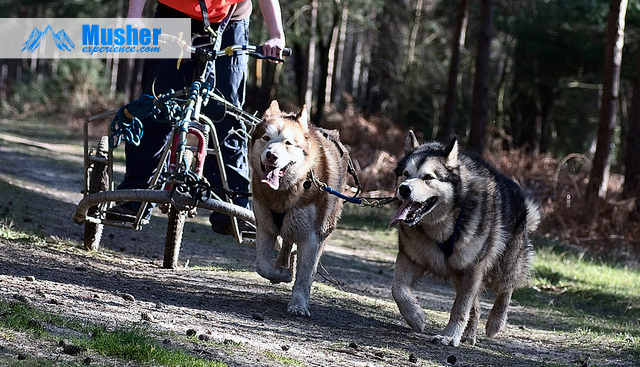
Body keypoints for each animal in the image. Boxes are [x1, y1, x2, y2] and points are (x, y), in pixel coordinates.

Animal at [249, 100, 348, 316]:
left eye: (288, 143)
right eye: (266, 138)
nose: (271, 156)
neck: (284, 193)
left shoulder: (311, 237)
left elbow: (304, 276)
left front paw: (298, 303)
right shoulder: (265, 227)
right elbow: (262, 265)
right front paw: (280, 274)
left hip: (321, 228)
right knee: (287, 243)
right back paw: (283, 264)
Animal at [390, 133, 540, 348]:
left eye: (428, 177)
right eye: (405, 174)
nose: (404, 189)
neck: (443, 225)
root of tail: (519, 193)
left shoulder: (472, 268)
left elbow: (460, 308)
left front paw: (450, 336)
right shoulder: (411, 258)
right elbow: (398, 289)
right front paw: (416, 317)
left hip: (502, 268)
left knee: (506, 289)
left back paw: (495, 322)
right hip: (460, 276)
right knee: (476, 307)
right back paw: (469, 334)